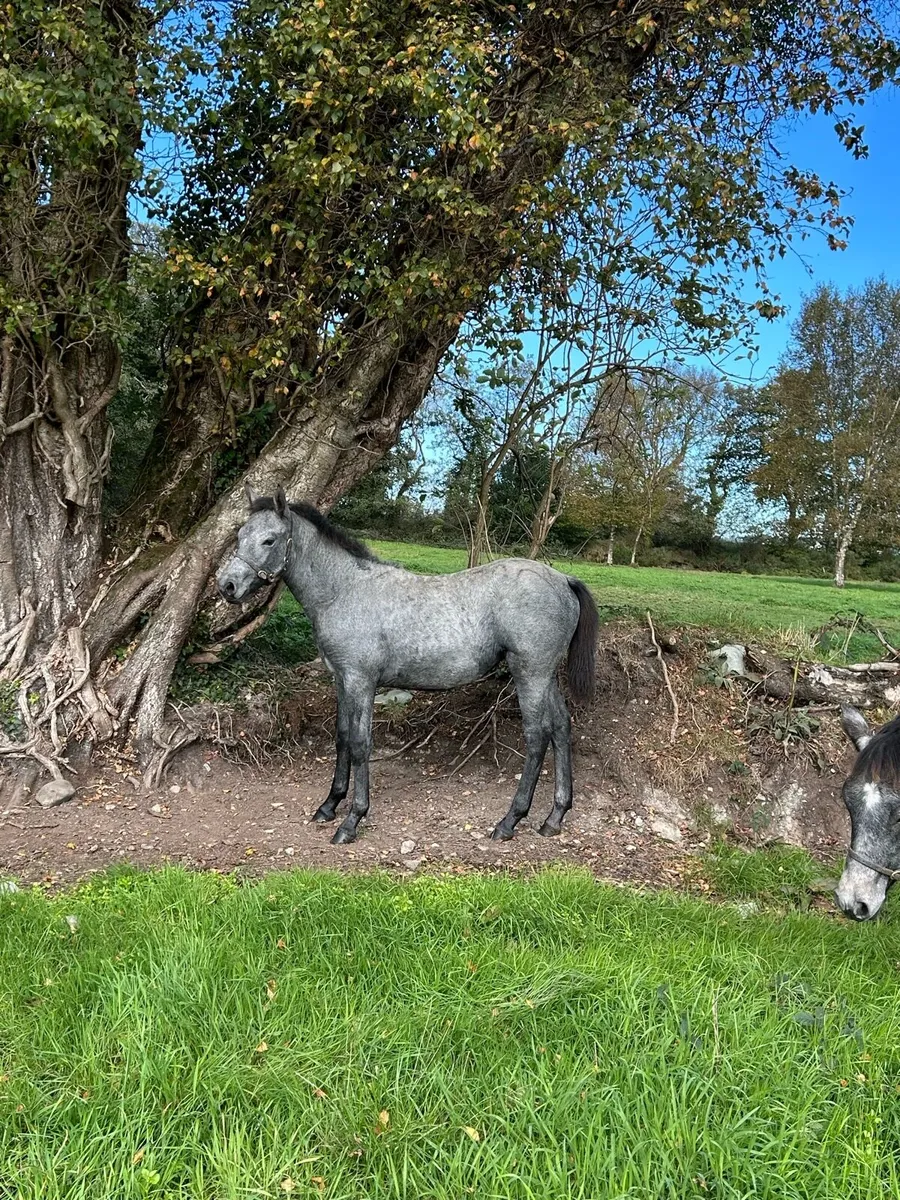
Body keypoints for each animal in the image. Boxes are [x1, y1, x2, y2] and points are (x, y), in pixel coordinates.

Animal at [217, 484, 599, 845]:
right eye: (240, 535)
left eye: (269, 539)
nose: (227, 586)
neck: (345, 590)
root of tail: (563, 580)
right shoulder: (341, 679)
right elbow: (342, 737)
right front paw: (329, 805)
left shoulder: (361, 681)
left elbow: (360, 744)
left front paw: (352, 820)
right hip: (545, 676)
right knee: (561, 728)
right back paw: (554, 817)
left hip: (529, 673)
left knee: (537, 736)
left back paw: (510, 821)